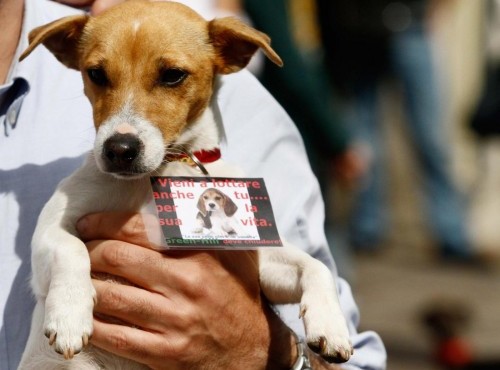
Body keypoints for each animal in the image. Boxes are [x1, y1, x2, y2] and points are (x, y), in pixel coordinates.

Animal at [18, 1, 352, 368]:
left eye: (172, 75)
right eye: (96, 74)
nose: (119, 149)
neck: (157, 174)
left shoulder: (261, 258)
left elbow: (316, 265)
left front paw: (331, 326)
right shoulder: (50, 229)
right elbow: (70, 248)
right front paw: (68, 315)